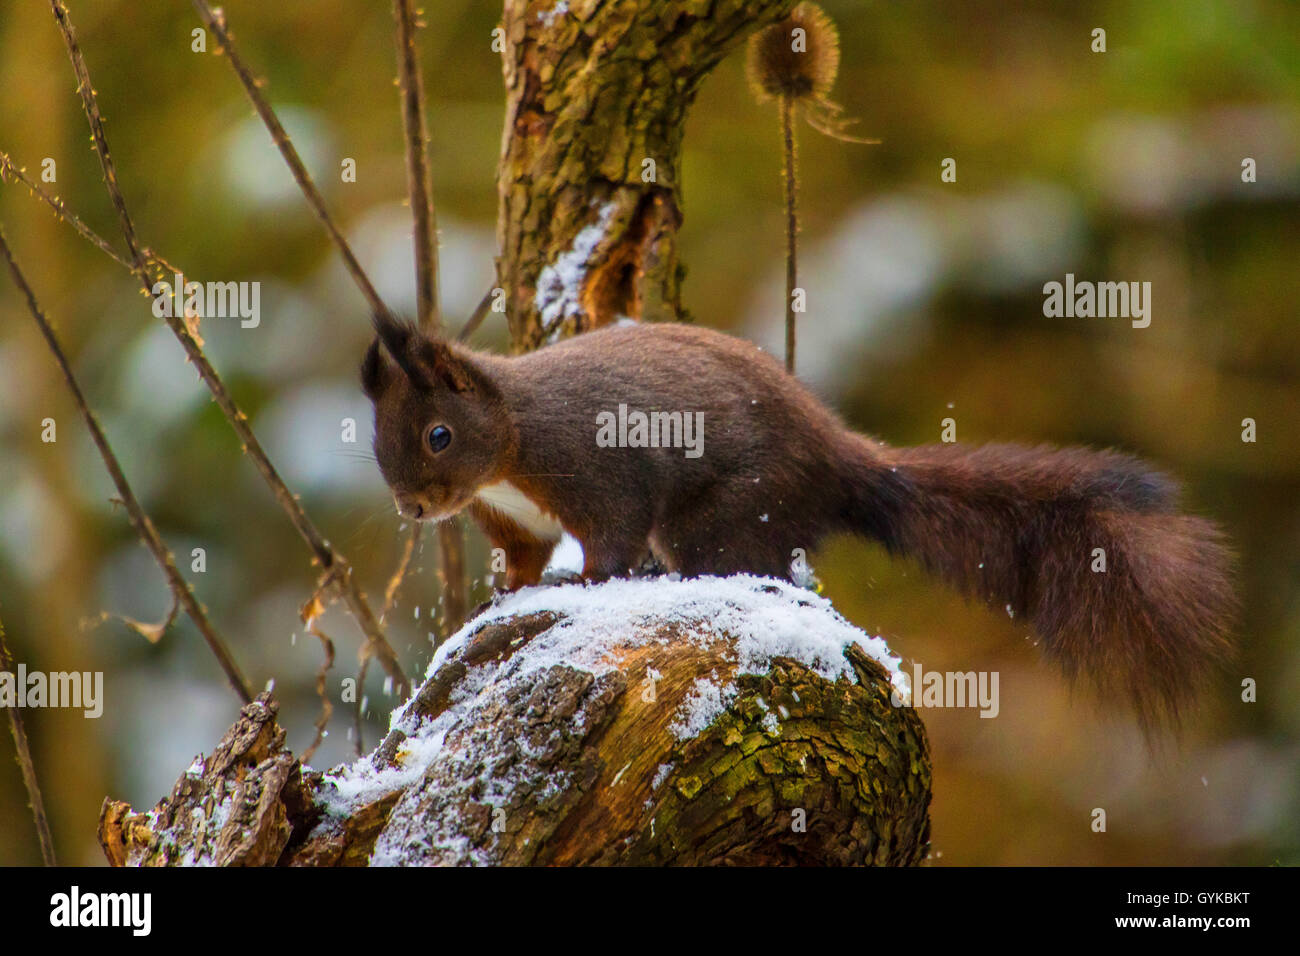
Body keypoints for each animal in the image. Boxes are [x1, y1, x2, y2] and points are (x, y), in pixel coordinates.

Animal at [361, 317, 1232, 728]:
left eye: (438, 434)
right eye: (375, 439)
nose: (412, 507)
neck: (509, 444)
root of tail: (838, 459)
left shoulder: (598, 472)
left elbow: (610, 539)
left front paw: (584, 586)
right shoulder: (518, 521)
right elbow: (522, 558)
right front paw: (503, 595)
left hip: (730, 510)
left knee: (742, 555)